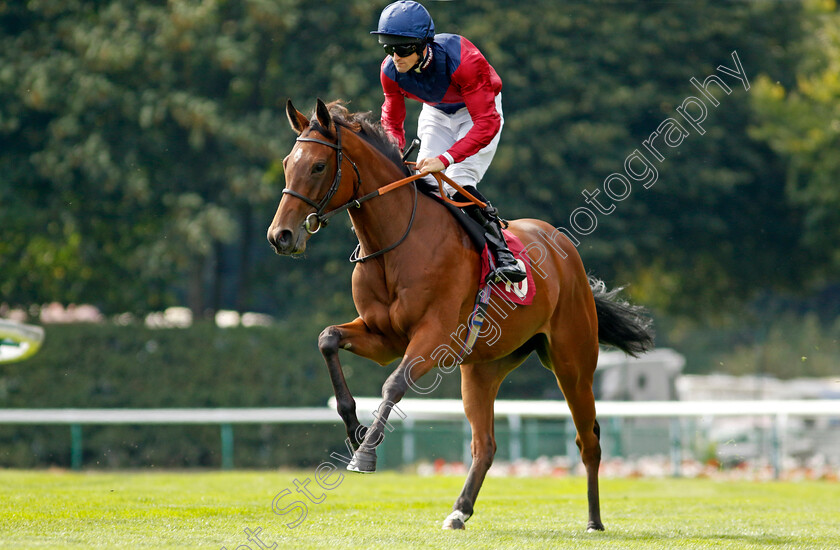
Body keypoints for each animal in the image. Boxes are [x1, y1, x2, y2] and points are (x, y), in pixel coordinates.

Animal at [266, 100, 652, 536]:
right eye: (287, 163)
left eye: (317, 166)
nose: (280, 236)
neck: (395, 242)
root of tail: (565, 250)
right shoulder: (383, 337)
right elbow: (328, 338)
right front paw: (354, 429)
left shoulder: (434, 337)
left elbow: (393, 383)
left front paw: (365, 453)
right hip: (483, 369)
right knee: (485, 445)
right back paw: (459, 510)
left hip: (573, 363)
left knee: (588, 440)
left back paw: (593, 520)